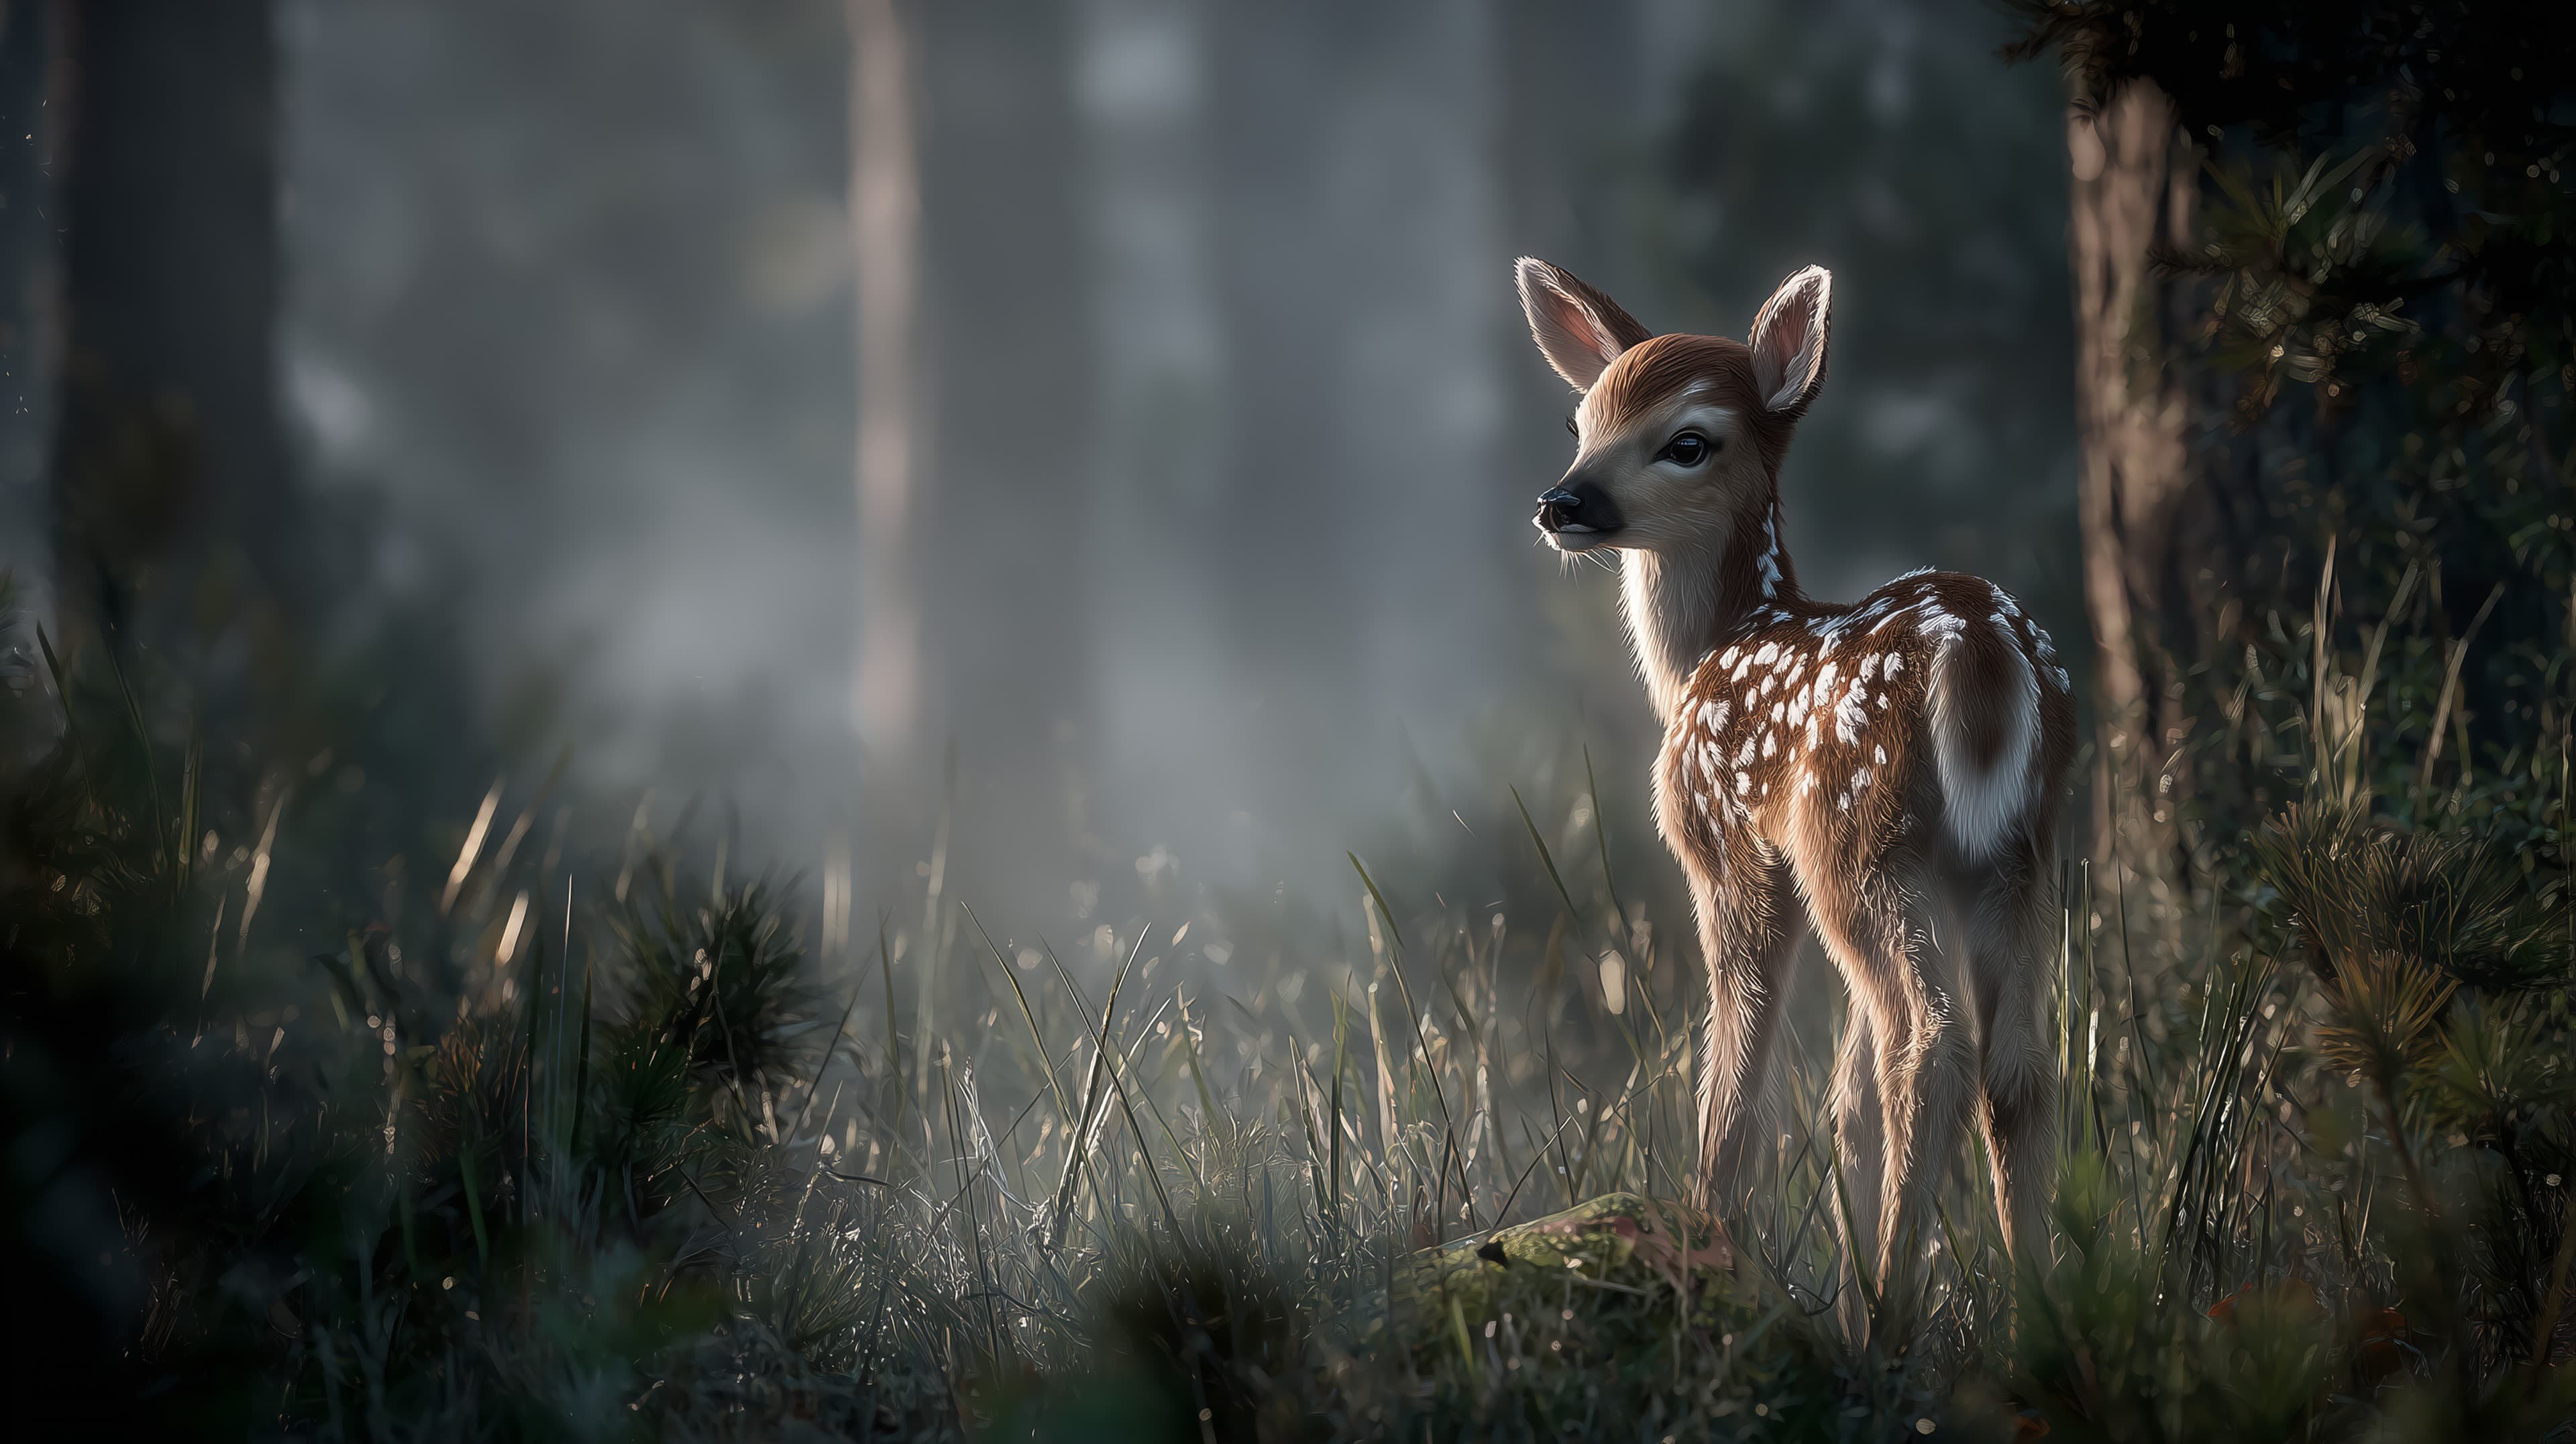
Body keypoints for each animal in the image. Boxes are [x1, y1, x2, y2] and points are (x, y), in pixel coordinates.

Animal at [1512, 258, 2074, 1300]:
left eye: (1687, 441)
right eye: (1580, 422)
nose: (1561, 503)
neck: (1716, 644)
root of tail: (1982, 652)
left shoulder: (1731, 848)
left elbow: (1736, 1094)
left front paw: (1710, 1244)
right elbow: (1845, 1103)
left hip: (1855, 840)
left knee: (1928, 1046)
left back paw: (1895, 1312)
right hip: (2017, 848)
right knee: (2013, 1066)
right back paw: (2036, 1307)